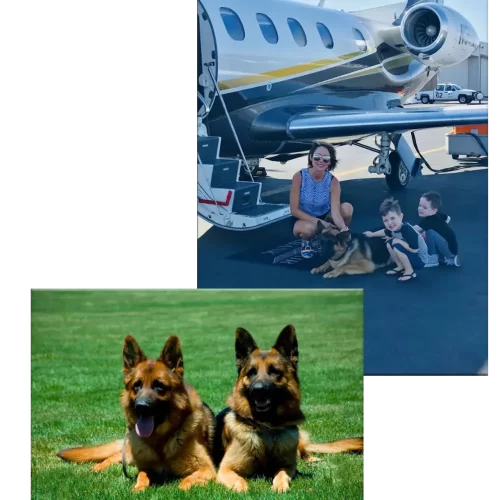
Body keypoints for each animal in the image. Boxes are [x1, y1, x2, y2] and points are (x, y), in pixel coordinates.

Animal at [57, 336, 217, 492]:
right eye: (137, 385)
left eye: (159, 386)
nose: (141, 406)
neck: (159, 441)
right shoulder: (146, 468)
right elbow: (142, 476)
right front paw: (138, 488)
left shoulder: (206, 468)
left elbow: (184, 482)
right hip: (130, 453)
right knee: (115, 456)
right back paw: (99, 467)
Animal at [213, 324, 362, 492]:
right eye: (251, 372)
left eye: (274, 371)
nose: (258, 389)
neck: (267, 429)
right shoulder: (226, 469)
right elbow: (239, 482)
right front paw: (243, 488)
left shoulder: (288, 466)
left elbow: (282, 473)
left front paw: (280, 485)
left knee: (304, 452)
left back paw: (313, 459)